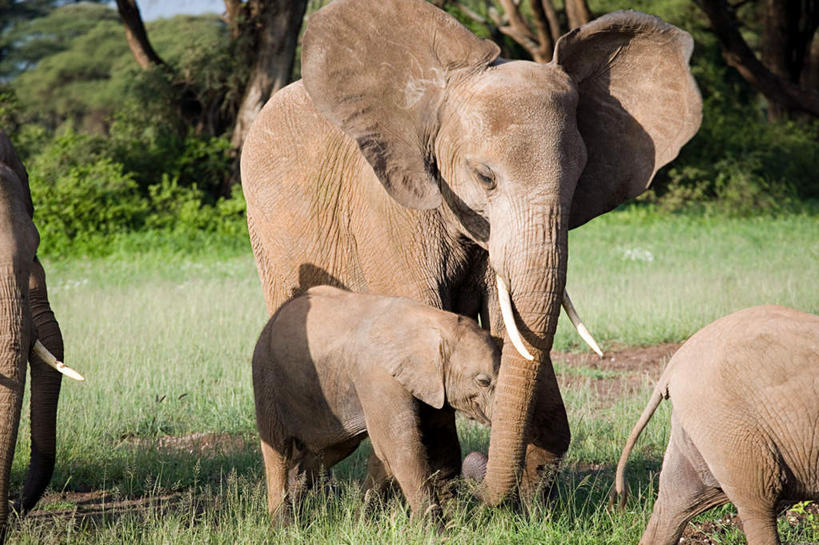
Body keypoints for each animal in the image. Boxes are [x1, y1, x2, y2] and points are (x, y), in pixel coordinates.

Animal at [255, 284, 500, 520]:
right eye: (483, 382)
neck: (435, 322)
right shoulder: (378, 377)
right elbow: (400, 448)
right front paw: (434, 530)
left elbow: (388, 453)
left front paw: (359, 523)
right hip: (266, 373)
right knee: (277, 448)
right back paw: (283, 525)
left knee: (333, 449)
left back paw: (298, 514)